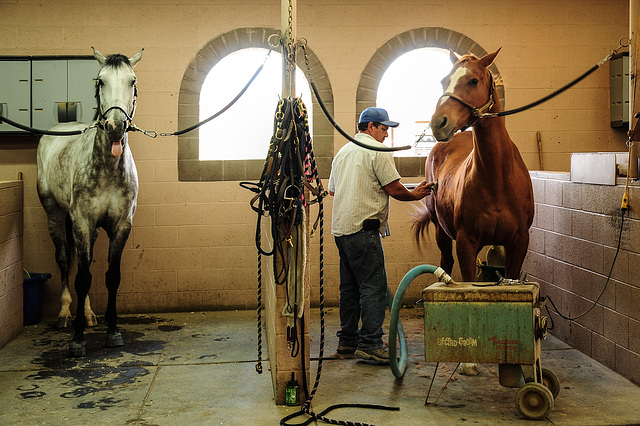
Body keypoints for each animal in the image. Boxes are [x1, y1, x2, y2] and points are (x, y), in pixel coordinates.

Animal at [416, 48, 536, 282]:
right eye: (444, 81)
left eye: (473, 80)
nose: (438, 123)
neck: (496, 179)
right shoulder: (466, 244)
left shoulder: (519, 242)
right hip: (440, 230)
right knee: (445, 262)